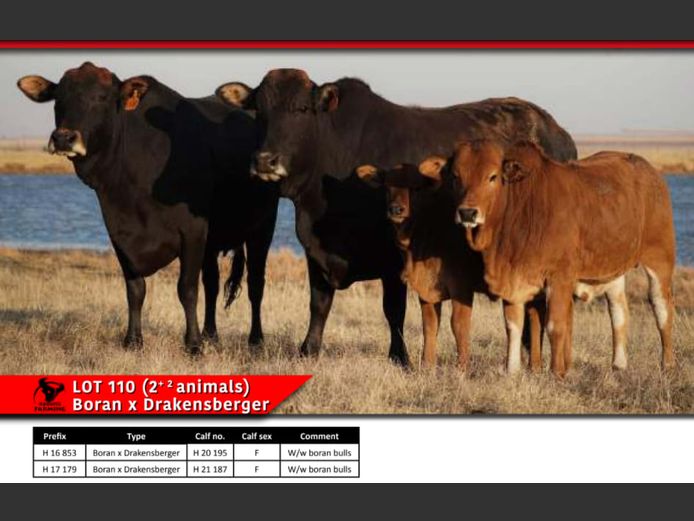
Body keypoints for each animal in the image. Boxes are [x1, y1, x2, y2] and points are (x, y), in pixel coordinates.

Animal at [17, 62, 280, 354]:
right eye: (58, 99)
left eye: (102, 98)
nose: (64, 138)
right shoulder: (120, 234)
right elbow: (135, 289)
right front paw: (133, 340)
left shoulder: (192, 231)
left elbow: (186, 289)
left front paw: (193, 345)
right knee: (211, 284)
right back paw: (211, 334)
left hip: (262, 227)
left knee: (255, 284)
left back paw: (255, 340)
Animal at [355, 162, 545, 371]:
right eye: (388, 187)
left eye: (416, 188)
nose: (396, 209)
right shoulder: (426, 288)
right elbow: (429, 325)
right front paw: (427, 366)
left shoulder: (461, 287)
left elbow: (459, 325)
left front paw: (462, 368)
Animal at [421, 140, 676, 377]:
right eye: (456, 176)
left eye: (492, 176)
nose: (467, 213)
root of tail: (649, 170)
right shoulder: (513, 280)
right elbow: (513, 326)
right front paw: (512, 370)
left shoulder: (559, 277)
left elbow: (555, 326)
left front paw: (556, 373)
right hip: (611, 270)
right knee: (619, 312)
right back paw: (618, 365)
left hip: (660, 260)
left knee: (662, 310)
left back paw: (667, 364)